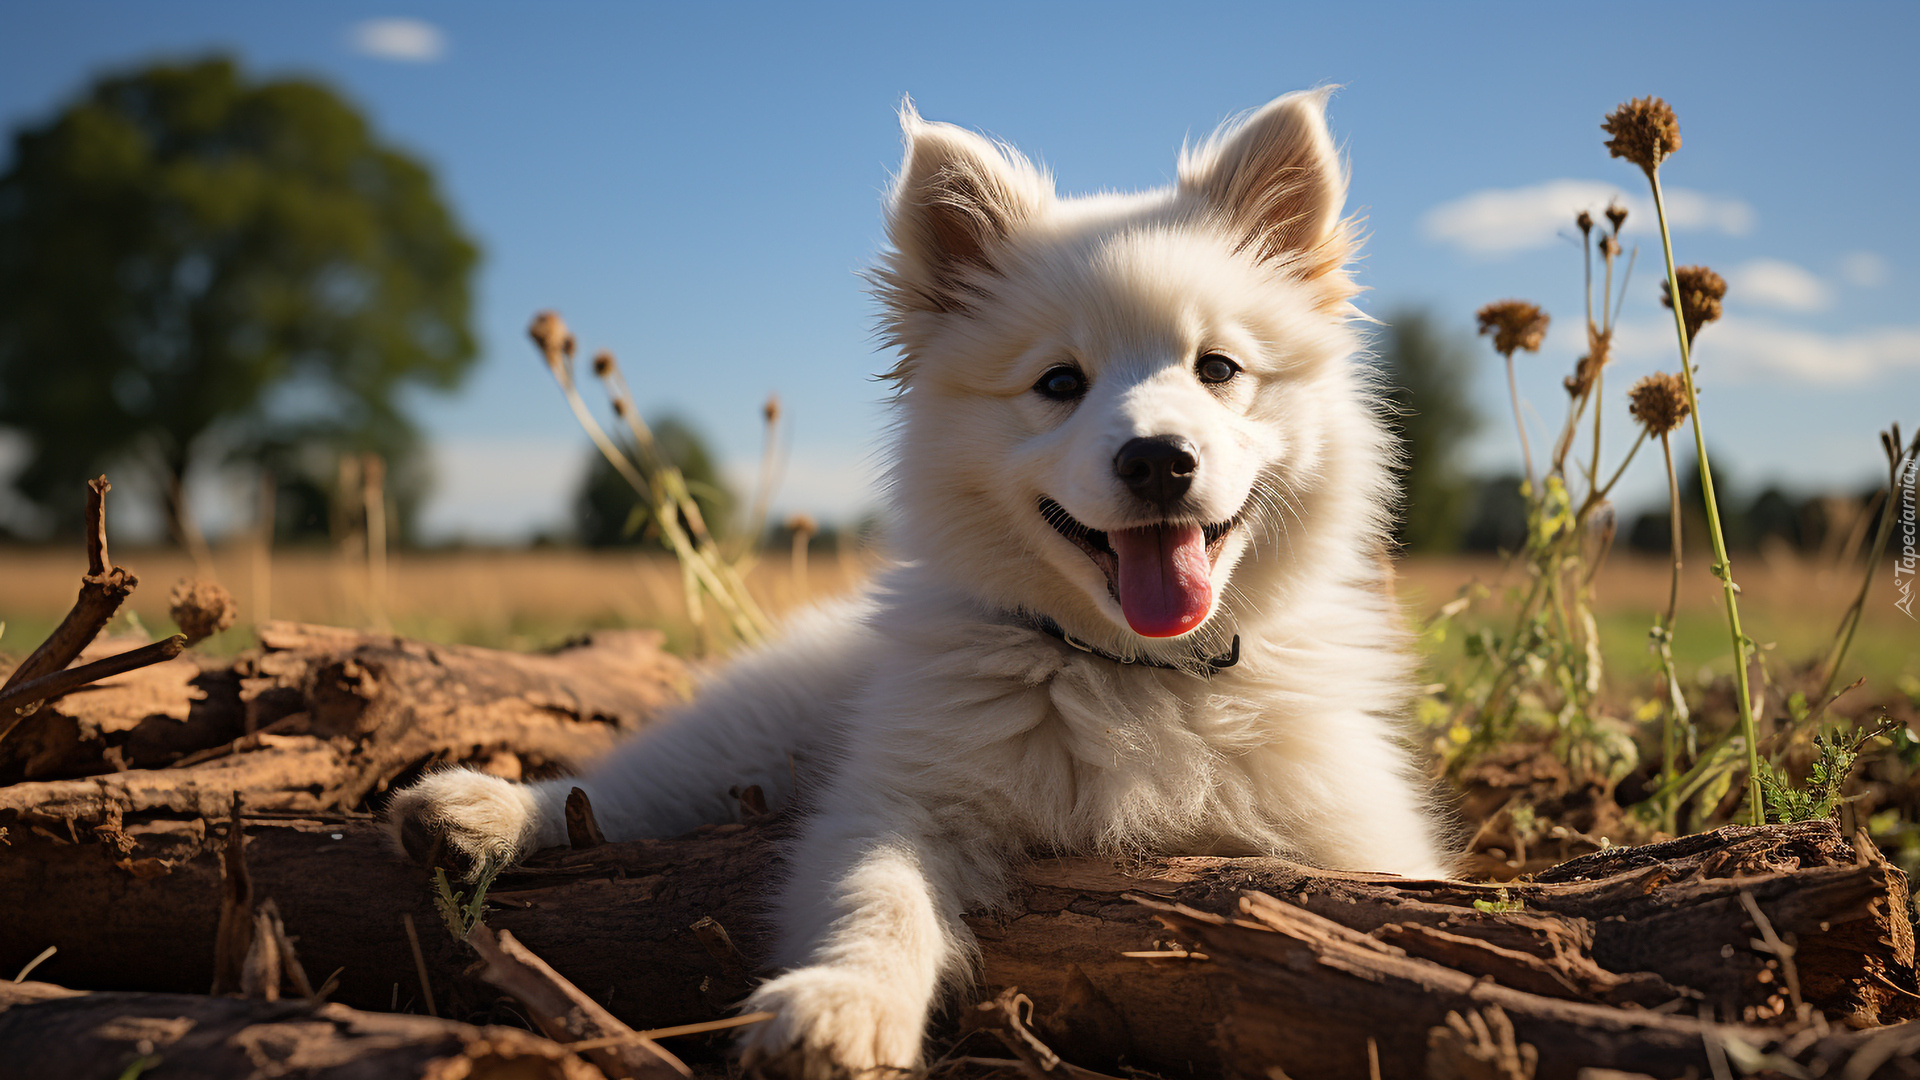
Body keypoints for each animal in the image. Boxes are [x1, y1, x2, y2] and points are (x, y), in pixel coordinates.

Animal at [385, 88, 1443, 1068]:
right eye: (1060, 383)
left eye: (1218, 368)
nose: (1156, 461)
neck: (1134, 675)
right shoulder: (902, 798)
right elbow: (877, 894)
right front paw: (842, 1006)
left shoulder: (1353, 842)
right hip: (744, 736)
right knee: (620, 793)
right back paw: (476, 814)